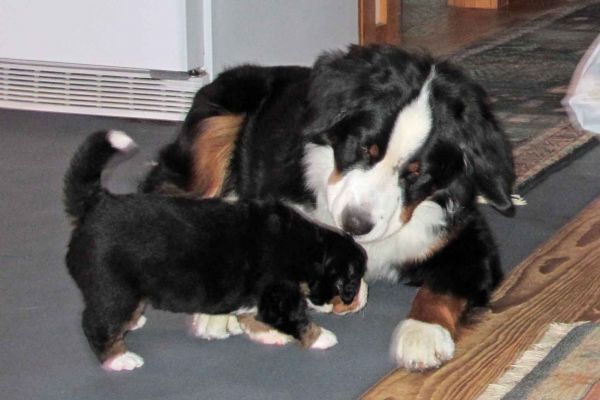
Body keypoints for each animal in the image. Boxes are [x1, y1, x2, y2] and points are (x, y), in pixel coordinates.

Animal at [63, 131, 368, 372]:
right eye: (349, 283)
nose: (351, 303)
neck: (308, 247)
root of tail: (96, 203)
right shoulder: (278, 295)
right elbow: (296, 319)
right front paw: (320, 337)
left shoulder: (256, 294)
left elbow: (251, 314)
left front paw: (267, 334)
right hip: (114, 288)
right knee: (96, 324)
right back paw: (119, 358)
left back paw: (133, 322)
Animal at [139, 44, 516, 372]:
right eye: (364, 148)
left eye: (416, 173)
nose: (356, 224)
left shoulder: (465, 238)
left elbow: (443, 288)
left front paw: (421, 333)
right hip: (221, 118)